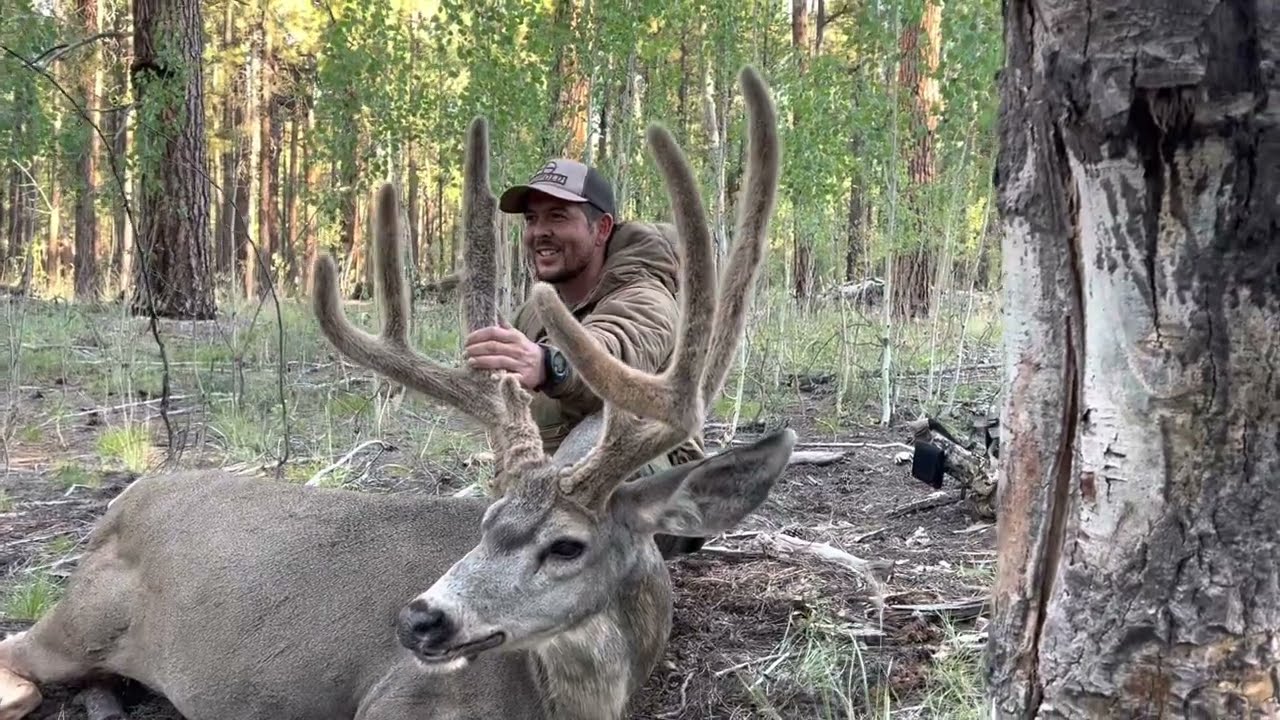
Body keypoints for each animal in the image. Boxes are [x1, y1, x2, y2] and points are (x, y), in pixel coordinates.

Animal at [0, 64, 786, 720]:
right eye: (484, 521)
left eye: (566, 546)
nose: (420, 619)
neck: (567, 703)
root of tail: (127, 497)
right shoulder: (399, 699)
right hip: (75, 621)